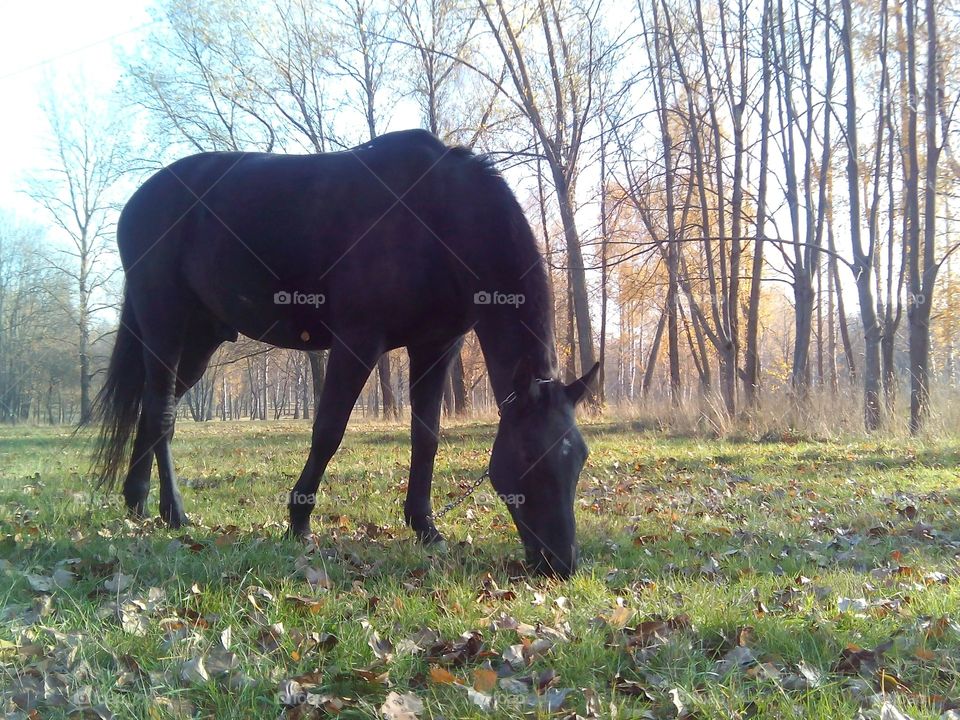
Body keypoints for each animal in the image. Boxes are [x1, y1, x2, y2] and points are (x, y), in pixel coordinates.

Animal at [92, 129, 600, 576]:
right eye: (530, 459)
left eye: (578, 458)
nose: (562, 563)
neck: (433, 217)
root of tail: (140, 200)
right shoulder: (358, 341)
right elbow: (328, 431)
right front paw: (298, 522)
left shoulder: (436, 347)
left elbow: (426, 436)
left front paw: (425, 527)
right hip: (164, 324)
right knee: (161, 411)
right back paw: (173, 512)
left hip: (200, 340)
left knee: (153, 410)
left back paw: (136, 500)